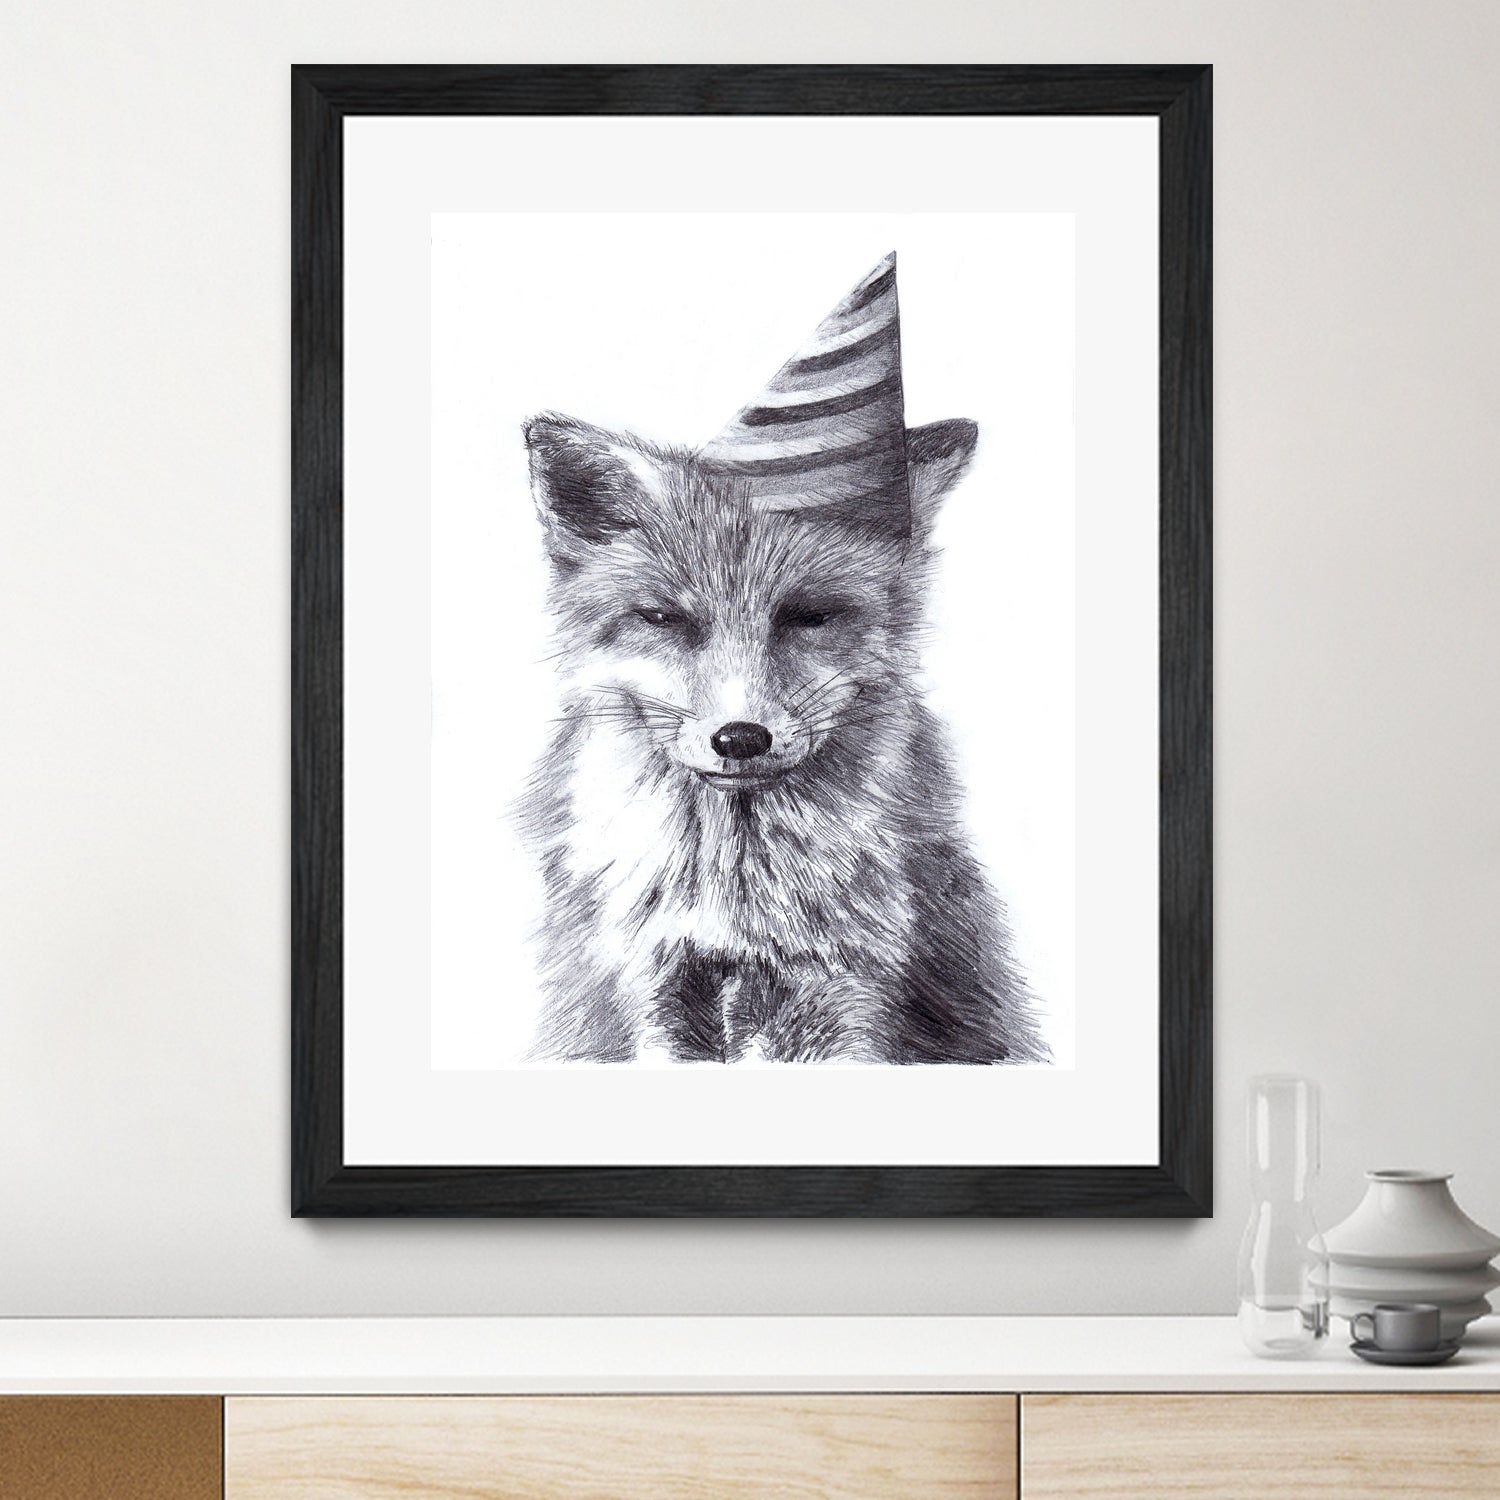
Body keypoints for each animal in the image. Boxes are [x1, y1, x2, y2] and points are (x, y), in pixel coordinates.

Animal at [513, 409, 1050, 1066]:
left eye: (809, 616)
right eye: (663, 619)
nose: (741, 738)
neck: (736, 906)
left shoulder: (847, 992)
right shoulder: (650, 991)